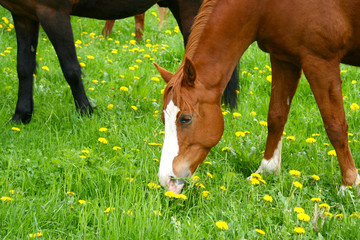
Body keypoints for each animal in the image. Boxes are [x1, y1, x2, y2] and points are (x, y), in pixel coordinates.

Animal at [1, 0, 240, 124]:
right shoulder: (23, 15)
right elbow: (24, 68)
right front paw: (21, 116)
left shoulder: (52, 13)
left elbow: (70, 69)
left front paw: (85, 112)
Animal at [156, 0, 360, 193]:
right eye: (163, 119)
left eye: (186, 118)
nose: (167, 180)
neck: (264, 7)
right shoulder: (283, 59)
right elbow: (276, 117)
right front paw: (266, 171)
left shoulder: (320, 62)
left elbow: (335, 126)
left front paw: (349, 184)